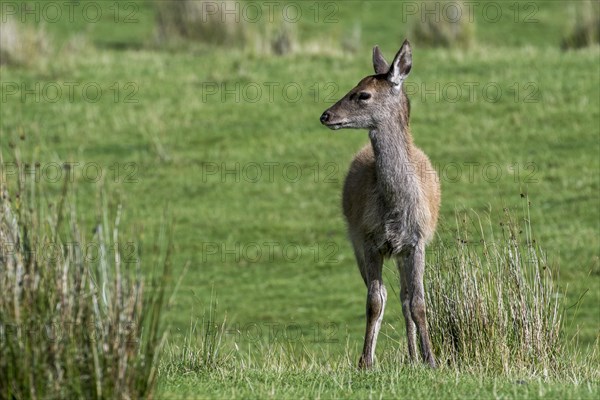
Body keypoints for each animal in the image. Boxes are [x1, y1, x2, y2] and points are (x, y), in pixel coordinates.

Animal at [318, 40, 440, 368]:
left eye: (363, 94)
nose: (326, 115)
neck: (396, 209)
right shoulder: (369, 239)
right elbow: (374, 301)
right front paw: (365, 362)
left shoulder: (416, 241)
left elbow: (418, 302)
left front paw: (431, 359)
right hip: (357, 241)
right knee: (384, 294)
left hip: (399, 253)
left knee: (404, 297)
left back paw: (413, 356)